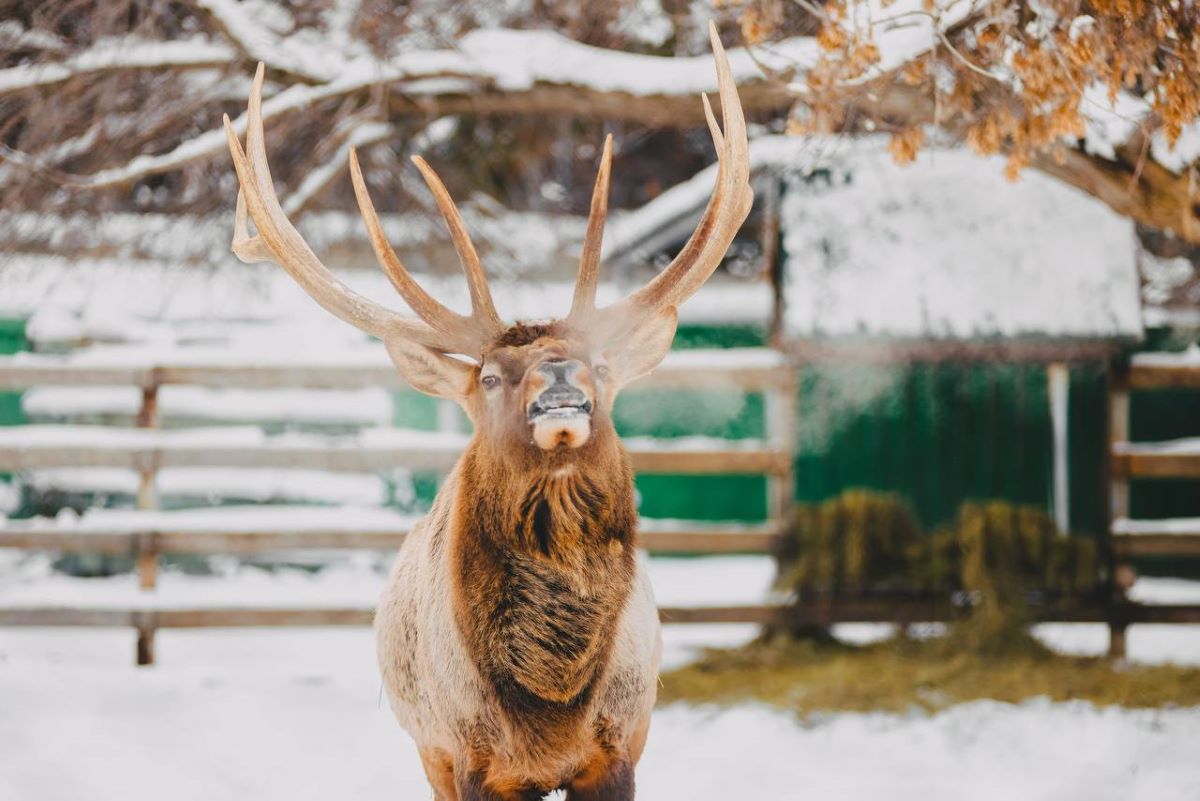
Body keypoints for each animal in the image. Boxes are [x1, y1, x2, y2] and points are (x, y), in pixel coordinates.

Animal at [223, 23, 748, 801]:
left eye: (599, 366)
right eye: (495, 377)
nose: (561, 383)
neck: (552, 698)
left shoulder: (621, 745)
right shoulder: (474, 756)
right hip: (428, 747)